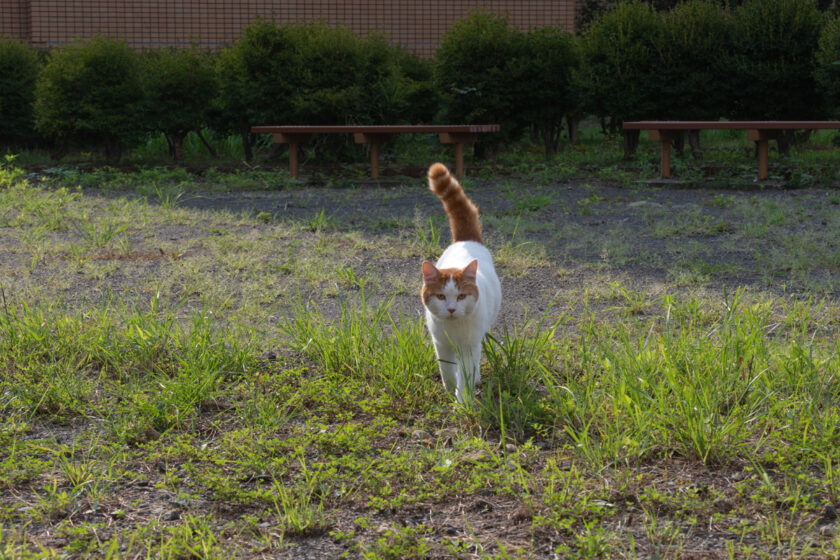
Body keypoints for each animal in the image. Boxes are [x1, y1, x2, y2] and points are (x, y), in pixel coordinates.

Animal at [420, 162, 498, 402]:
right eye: (441, 296)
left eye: (462, 296)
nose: (452, 309)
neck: (453, 328)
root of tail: (465, 240)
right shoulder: (440, 345)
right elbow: (446, 370)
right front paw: (449, 389)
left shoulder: (469, 348)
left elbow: (466, 374)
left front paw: (463, 401)